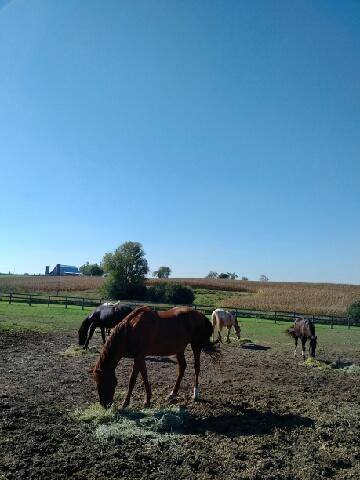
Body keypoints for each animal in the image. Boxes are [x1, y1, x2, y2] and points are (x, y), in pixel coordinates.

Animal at [90, 308, 219, 408]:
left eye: (103, 383)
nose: (104, 405)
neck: (131, 330)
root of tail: (200, 315)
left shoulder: (139, 357)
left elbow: (132, 380)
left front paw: (125, 403)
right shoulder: (140, 357)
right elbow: (144, 376)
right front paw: (147, 400)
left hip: (196, 345)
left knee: (197, 368)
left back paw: (195, 394)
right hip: (179, 349)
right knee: (182, 367)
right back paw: (173, 393)